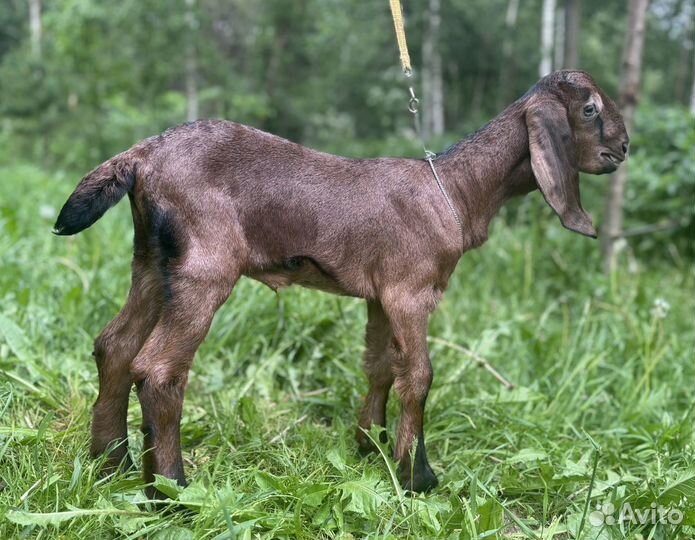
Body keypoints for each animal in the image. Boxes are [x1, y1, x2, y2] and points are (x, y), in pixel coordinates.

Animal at [55, 70, 632, 494]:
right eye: (589, 109)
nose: (624, 147)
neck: (455, 189)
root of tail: (141, 156)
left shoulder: (379, 296)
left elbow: (379, 366)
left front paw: (370, 447)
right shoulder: (411, 291)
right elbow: (418, 375)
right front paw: (416, 475)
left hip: (154, 264)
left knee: (115, 346)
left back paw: (110, 464)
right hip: (203, 269)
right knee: (158, 370)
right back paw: (171, 490)